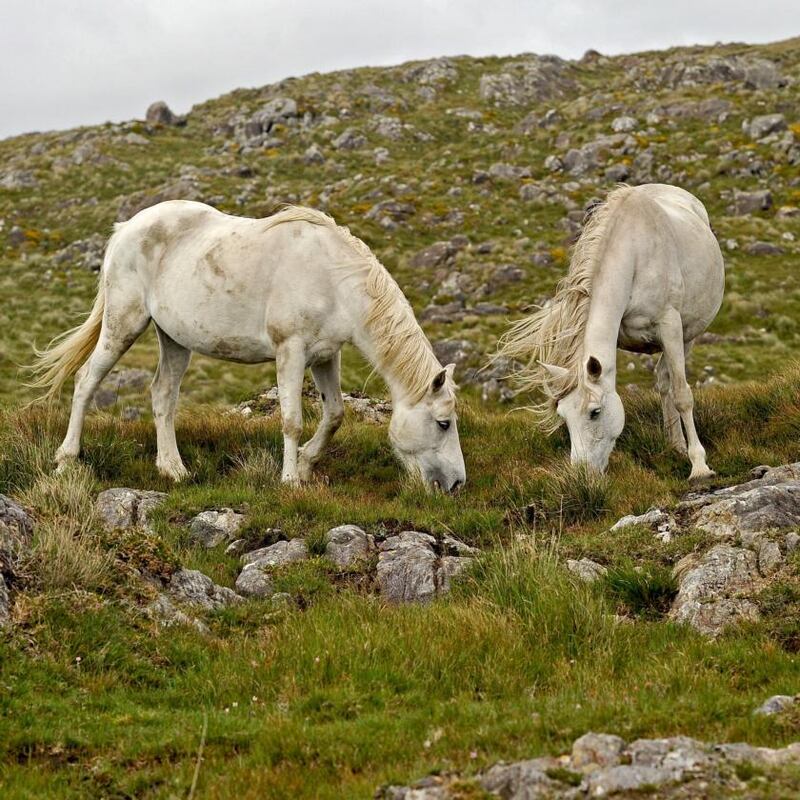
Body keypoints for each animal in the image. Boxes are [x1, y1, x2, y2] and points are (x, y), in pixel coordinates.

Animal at [30, 201, 466, 492]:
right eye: (443, 423)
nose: (457, 484)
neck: (333, 277)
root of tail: (126, 228)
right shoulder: (291, 352)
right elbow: (292, 420)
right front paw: (290, 480)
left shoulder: (327, 356)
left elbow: (335, 415)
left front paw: (305, 464)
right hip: (124, 322)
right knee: (86, 380)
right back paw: (67, 460)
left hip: (174, 340)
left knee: (162, 395)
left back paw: (173, 469)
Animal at [498, 183, 724, 482]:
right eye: (563, 416)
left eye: (595, 412)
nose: (582, 475)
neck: (634, 255)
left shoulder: (671, 327)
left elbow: (682, 395)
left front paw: (699, 467)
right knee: (662, 382)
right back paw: (675, 444)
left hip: (688, 336)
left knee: (669, 383)